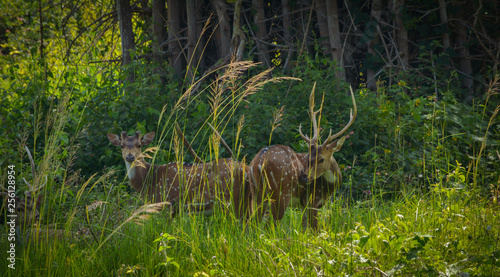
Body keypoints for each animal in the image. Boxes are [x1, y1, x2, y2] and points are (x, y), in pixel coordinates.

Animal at [108, 123, 252, 218]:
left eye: (139, 145)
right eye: (122, 146)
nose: (130, 157)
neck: (149, 180)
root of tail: (246, 169)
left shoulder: (164, 204)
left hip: (230, 200)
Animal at [250, 85, 356, 227]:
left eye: (321, 159)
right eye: (309, 157)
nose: (304, 177)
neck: (328, 188)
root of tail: (259, 162)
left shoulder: (303, 206)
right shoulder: (312, 201)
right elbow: (315, 229)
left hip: (257, 194)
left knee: (252, 223)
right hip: (280, 194)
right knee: (269, 225)